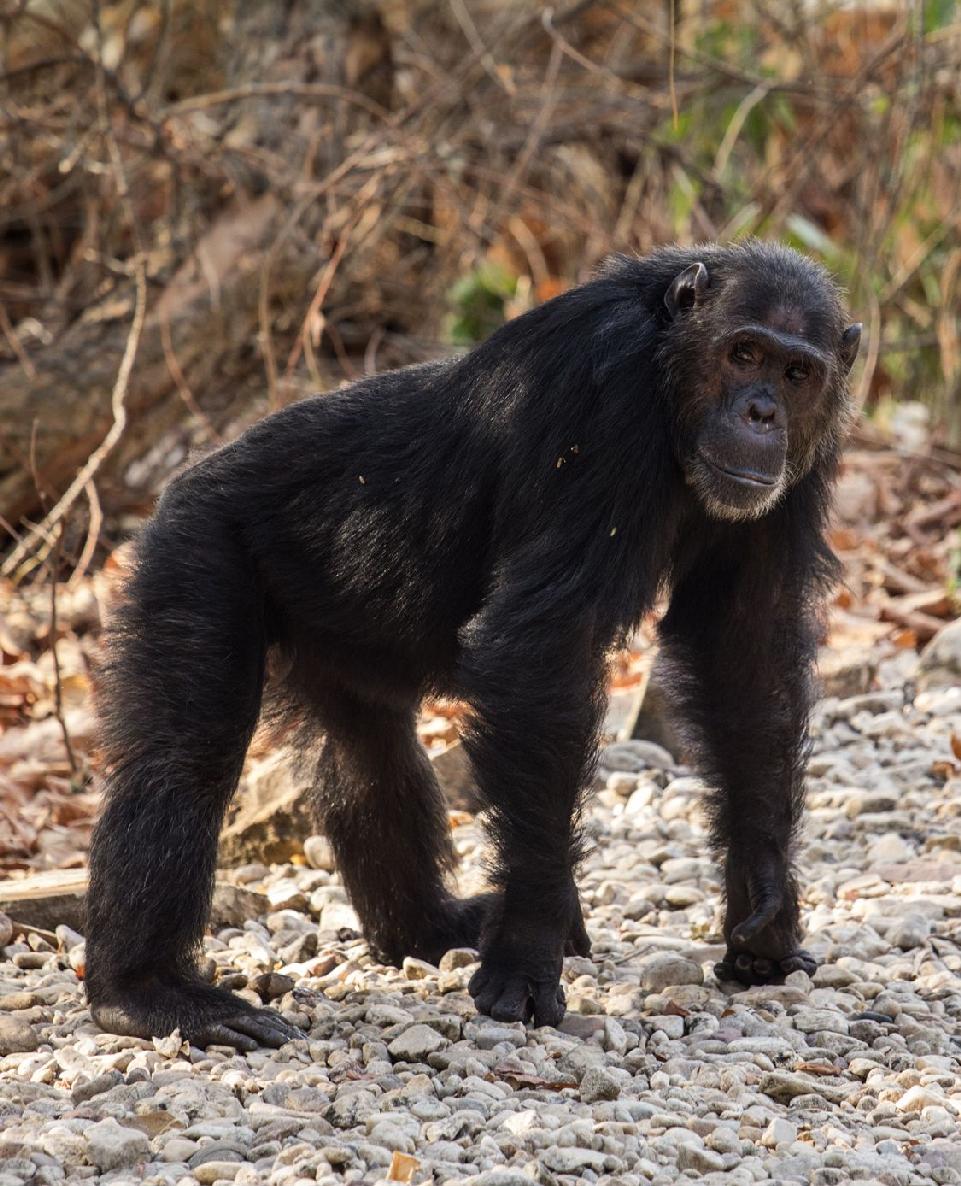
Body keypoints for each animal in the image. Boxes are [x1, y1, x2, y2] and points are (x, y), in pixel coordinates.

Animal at [86, 238, 858, 1048]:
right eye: (743, 353)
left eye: (796, 373)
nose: (761, 410)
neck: (666, 373)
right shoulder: (599, 398)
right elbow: (542, 647)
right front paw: (528, 945)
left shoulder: (804, 468)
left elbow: (745, 650)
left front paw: (765, 902)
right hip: (197, 550)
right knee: (186, 756)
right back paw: (149, 993)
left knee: (369, 754)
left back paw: (425, 928)